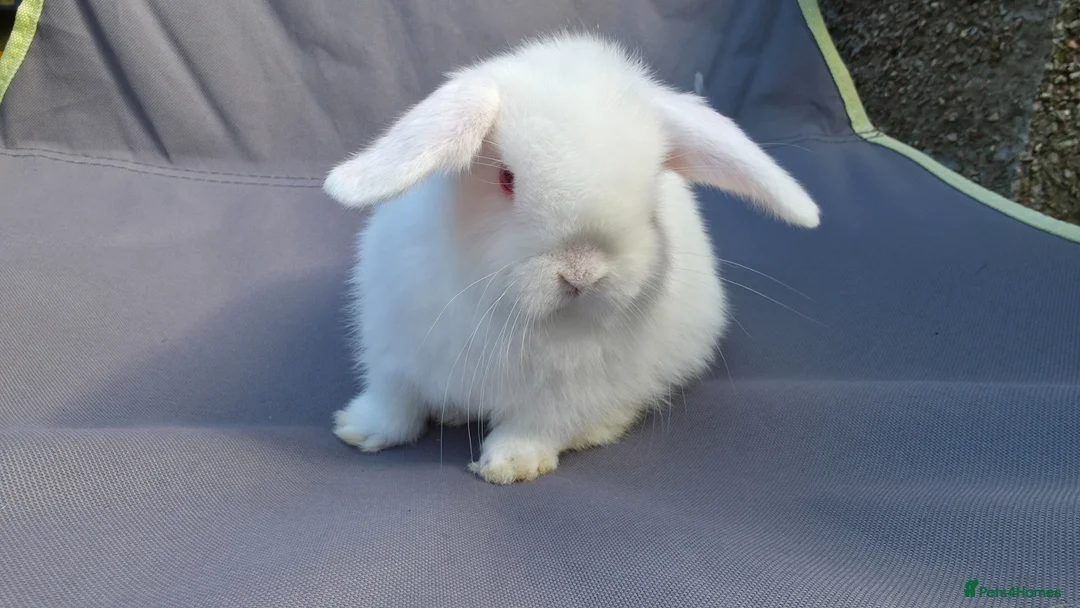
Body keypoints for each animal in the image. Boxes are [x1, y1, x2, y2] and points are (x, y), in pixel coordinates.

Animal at [321, 32, 820, 484]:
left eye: (650, 194)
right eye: (506, 178)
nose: (582, 274)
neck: (506, 312)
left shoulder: (566, 393)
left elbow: (535, 426)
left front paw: (509, 466)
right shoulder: (394, 351)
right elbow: (394, 403)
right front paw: (357, 431)